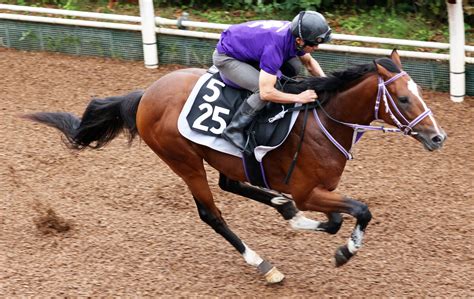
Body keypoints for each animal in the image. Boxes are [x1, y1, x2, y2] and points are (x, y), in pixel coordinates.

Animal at [23, 50, 444, 284]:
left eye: (419, 93)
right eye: (403, 98)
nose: (438, 137)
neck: (323, 120)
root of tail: (146, 95)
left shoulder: (316, 191)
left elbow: (338, 219)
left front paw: (301, 220)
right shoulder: (310, 190)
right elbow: (360, 211)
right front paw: (346, 251)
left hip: (220, 156)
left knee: (231, 183)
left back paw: (282, 209)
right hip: (184, 160)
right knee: (212, 212)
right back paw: (263, 264)